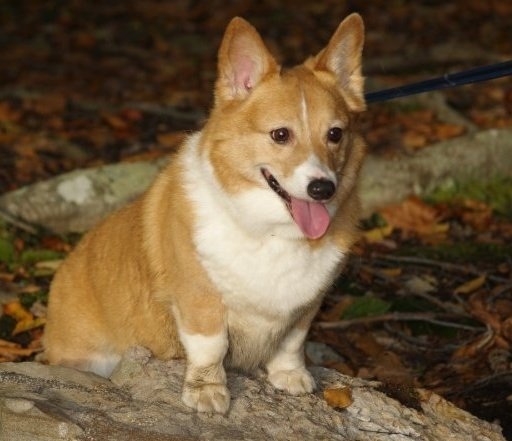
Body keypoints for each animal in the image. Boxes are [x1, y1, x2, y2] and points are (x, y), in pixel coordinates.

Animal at [43, 13, 364, 412]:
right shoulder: (199, 298)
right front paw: (207, 391)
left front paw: (290, 376)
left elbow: (291, 343)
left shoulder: (305, 307)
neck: (271, 231)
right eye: (280, 135)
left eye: (335, 134)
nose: (323, 188)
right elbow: (211, 346)